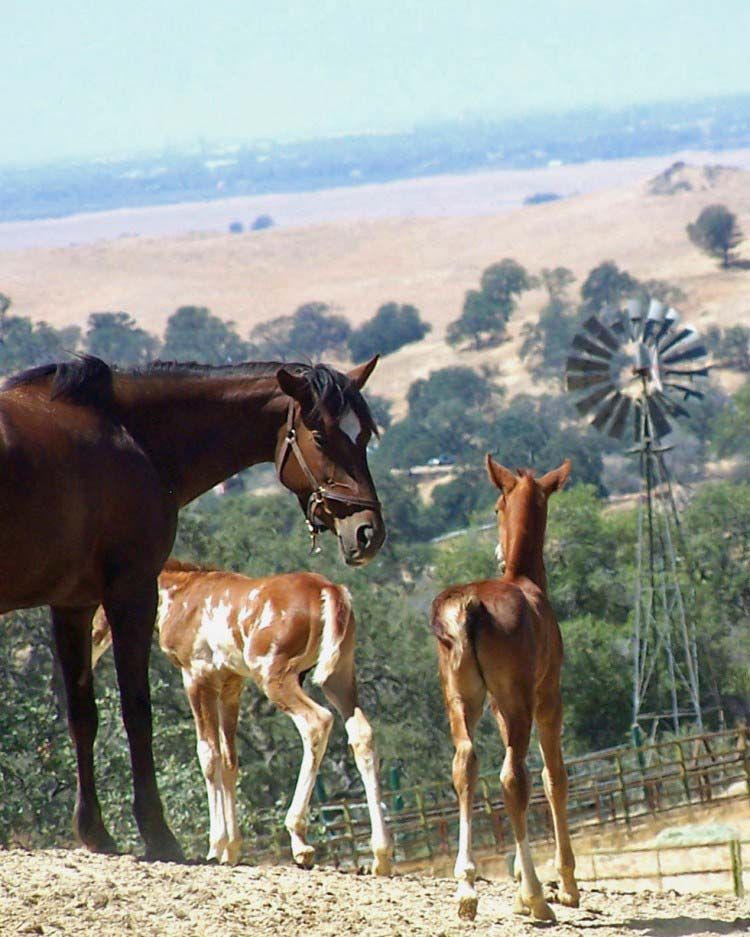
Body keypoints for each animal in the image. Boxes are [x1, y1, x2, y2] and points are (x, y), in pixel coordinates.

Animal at [91, 559, 392, 874]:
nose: (91, 642)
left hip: (275, 676)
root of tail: (328, 590)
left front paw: (215, 847)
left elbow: (208, 756)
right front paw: (231, 849)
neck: (180, 594)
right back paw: (381, 856)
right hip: (339, 677)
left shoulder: (197, 677)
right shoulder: (231, 685)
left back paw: (300, 842)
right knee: (362, 735)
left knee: (317, 722)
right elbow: (229, 761)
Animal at [431, 456, 579, 921]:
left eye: (496, 506)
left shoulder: (495, 706)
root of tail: (469, 607)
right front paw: (567, 885)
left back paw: (466, 888)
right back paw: (536, 897)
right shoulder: (548, 698)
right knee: (514, 778)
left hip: (461, 699)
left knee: (465, 764)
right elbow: (554, 777)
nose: (497, 554)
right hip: (520, 704)